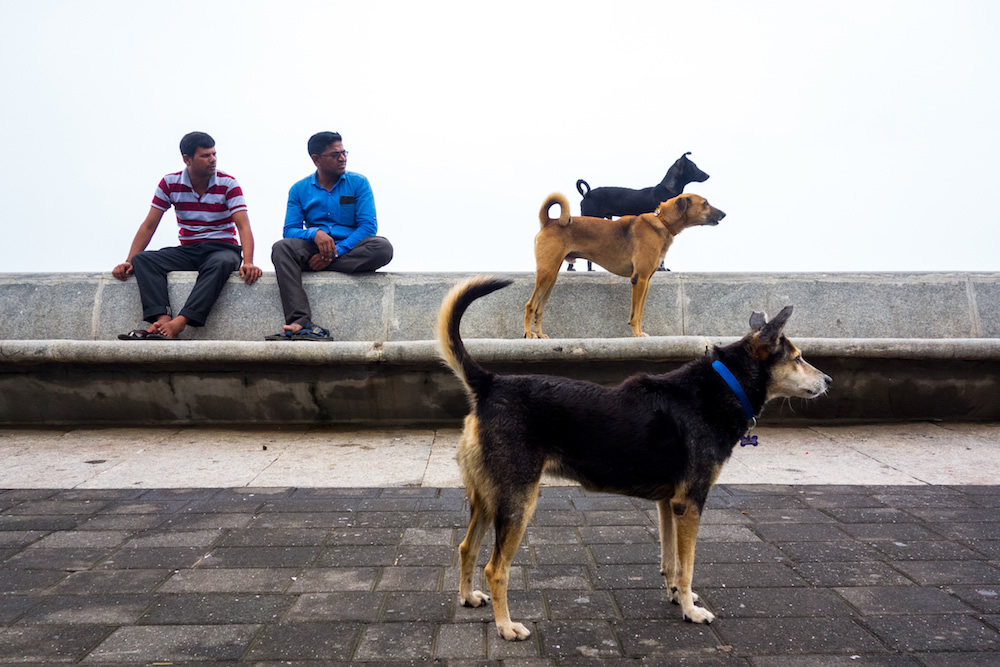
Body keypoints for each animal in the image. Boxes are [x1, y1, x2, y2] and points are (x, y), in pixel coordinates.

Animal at [438, 276, 828, 640]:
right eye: (798, 358)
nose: (828, 380)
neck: (723, 385)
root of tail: (490, 383)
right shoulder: (691, 503)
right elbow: (687, 565)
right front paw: (691, 611)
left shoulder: (670, 505)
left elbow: (672, 562)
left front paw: (677, 596)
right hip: (517, 501)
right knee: (495, 569)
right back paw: (506, 626)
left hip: (488, 498)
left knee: (466, 548)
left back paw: (468, 597)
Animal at [524, 192, 728, 340]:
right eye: (705, 203)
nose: (724, 214)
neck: (661, 223)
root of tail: (549, 222)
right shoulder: (640, 279)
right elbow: (636, 314)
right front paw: (638, 335)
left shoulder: (646, 281)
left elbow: (638, 311)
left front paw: (639, 331)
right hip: (546, 274)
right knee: (530, 305)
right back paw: (528, 333)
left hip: (551, 277)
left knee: (539, 308)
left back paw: (540, 334)